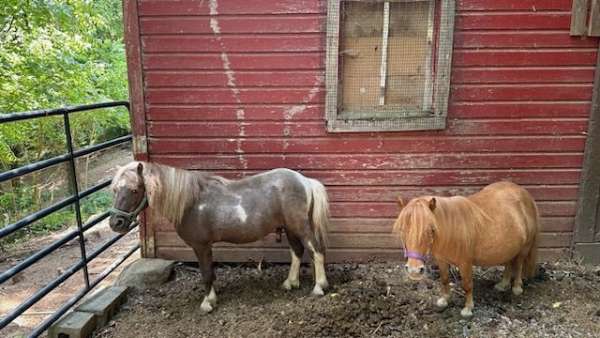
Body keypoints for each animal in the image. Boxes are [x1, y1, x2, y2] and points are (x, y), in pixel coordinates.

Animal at [110, 161, 330, 312]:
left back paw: (319, 287)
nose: (115, 223)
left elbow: (207, 274)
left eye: (134, 190)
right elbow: (211, 273)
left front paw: (207, 303)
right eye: (115, 189)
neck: (191, 202)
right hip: (289, 228)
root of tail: (305, 181)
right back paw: (290, 283)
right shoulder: (205, 247)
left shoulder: (201, 246)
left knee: (316, 250)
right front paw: (212, 298)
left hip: (300, 227)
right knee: (297, 251)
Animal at [394, 182, 540, 316]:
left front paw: (468, 308)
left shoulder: (465, 263)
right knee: (509, 263)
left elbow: (467, 284)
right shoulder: (441, 260)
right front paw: (444, 300)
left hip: (524, 247)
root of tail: (525, 194)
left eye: (431, 230)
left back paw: (516, 288)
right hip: (510, 246)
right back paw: (503, 285)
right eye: (402, 229)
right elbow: (445, 279)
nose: (414, 271)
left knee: (519, 265)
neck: (451, 229)